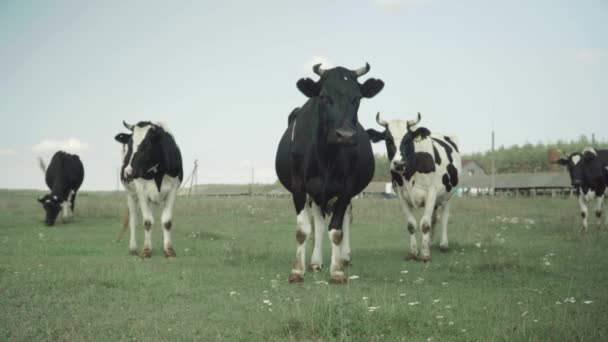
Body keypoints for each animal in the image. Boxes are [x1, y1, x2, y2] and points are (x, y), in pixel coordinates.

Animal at [114, 121, 183, 258]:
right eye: (130, 146)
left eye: (147, 146)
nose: (128, 171)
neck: (158, 173)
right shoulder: (141, 191)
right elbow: (147, 222)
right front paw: (146, 251)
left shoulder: (173, 189)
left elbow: (167, 222)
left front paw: (169, 250)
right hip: (130, 194)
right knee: (133, 220)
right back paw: (133, 248)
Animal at [276, 61, 384, 284]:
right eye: (324, 96)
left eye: (357, 98)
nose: (346, 135)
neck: (326, 155)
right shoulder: (299, 186)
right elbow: (303, 230)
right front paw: (297, 271)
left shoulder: (346, 188)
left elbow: (336, 230)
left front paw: (337, 271)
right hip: (316, 193)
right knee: (317, 220)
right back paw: (315, 261)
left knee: (345, 218)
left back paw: (344, 257)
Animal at [366, 112, 460, 262]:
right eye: (388, 140)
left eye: (408, 139)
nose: (399, 164)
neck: (410, 172)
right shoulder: (400, 195)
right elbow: (411, 225)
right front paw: (413, 252)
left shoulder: (432, 192)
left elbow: (425, 225)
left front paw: (425, 255)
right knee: (434, 218)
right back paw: (430, 242)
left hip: (448, 195)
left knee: (444, 218)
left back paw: (443, 244)